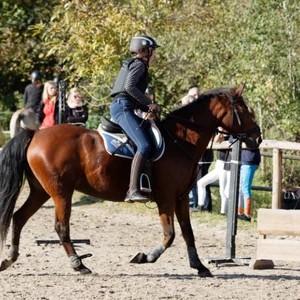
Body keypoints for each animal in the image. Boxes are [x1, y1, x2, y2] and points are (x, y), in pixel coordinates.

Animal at [0, 84, 260, 276]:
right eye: (245, 110)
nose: (257, 136)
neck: (180, 140)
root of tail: (35, 134)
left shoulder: (181, 198)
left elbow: (188, 232)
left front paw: (199, 266)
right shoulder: (166, 198)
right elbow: (170, 235)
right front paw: (145, 257)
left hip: (41, 191)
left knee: (19, 217)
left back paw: (10, 258)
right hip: (61, 192)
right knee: (61, 226)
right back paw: (79, 264)